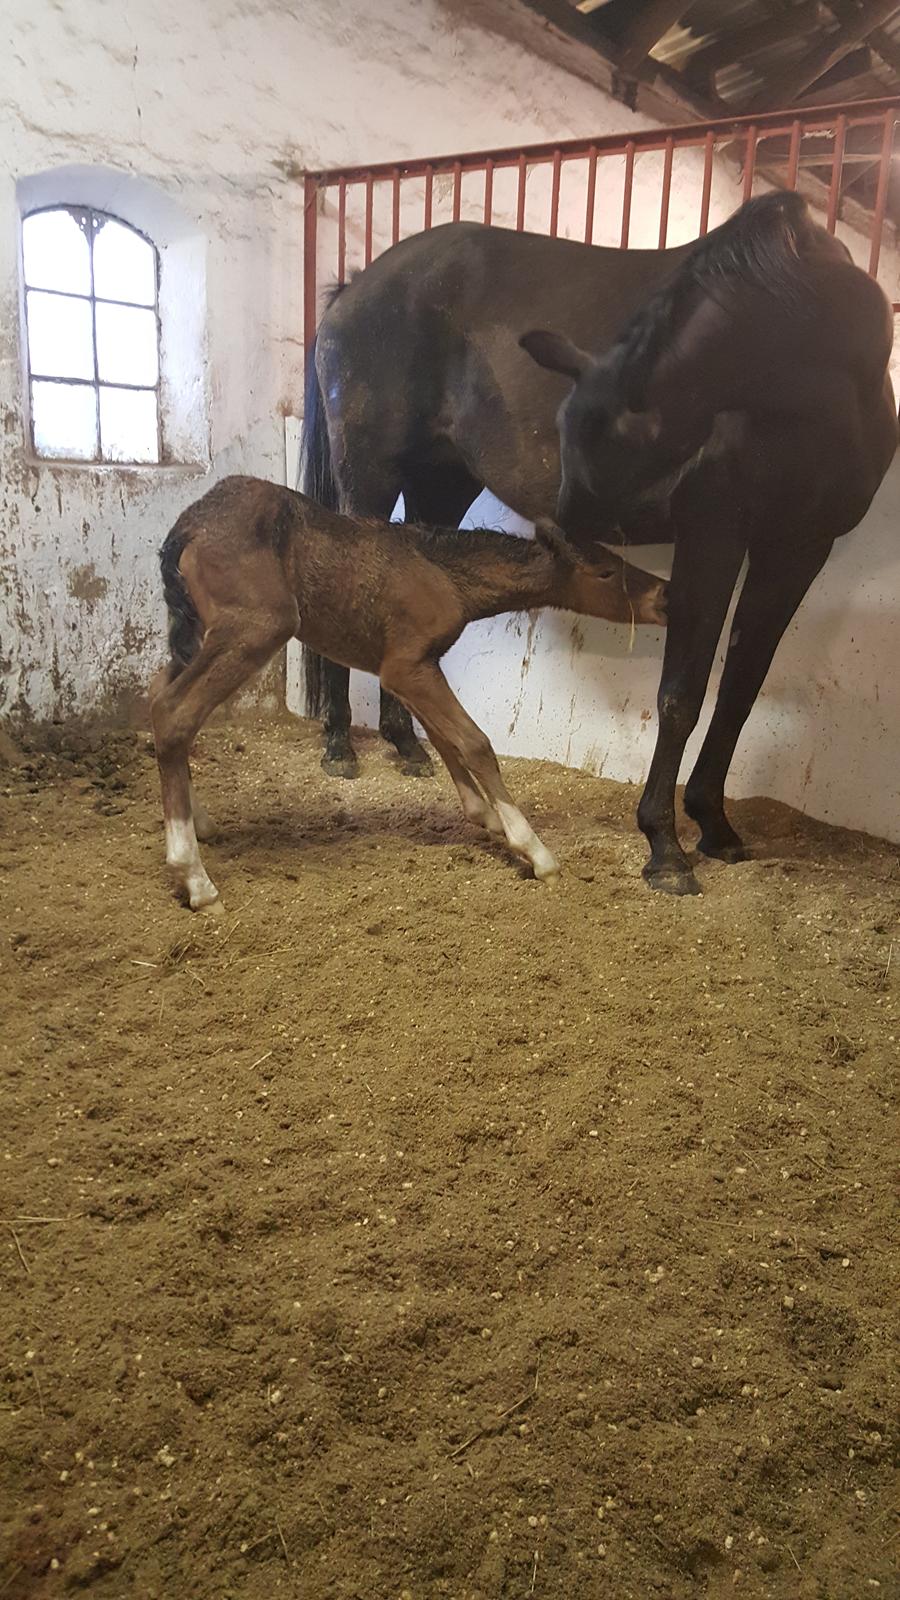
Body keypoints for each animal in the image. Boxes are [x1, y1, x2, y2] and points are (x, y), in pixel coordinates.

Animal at [148, 470, 666, 915]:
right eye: (604, 571)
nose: (663, 597)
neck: (447, 574)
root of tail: (188, 526)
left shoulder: (415, 668)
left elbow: (443, 738)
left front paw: (485, 815)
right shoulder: (405, 666)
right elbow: (475, 742)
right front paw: (535, 851)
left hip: (202, 634)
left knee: (158, 697)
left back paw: (200, 823)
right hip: (255, 630)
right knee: (175, 714)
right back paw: (195, 879)